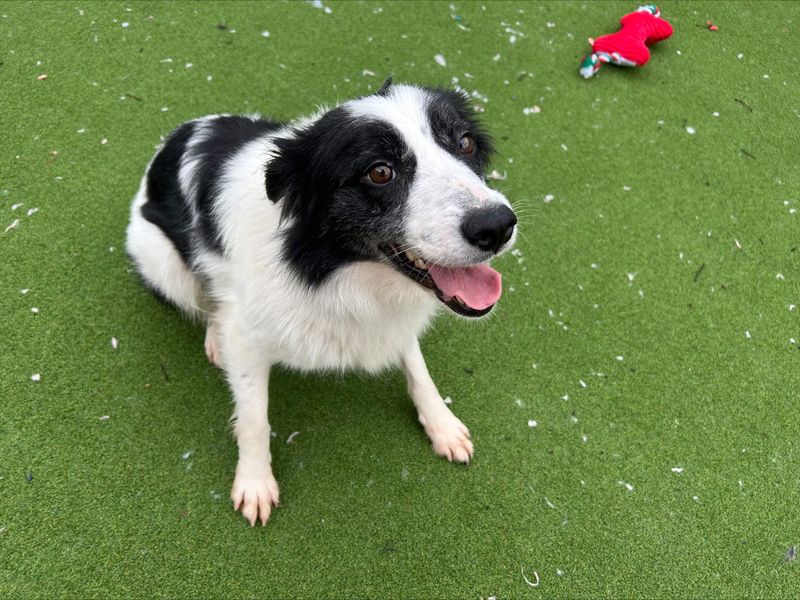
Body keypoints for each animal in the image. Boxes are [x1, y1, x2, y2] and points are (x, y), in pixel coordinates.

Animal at [122, 79, 516, 524]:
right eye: (380, 171)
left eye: (465, 143)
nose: (497, 226)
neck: (329, 273)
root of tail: (179, 134)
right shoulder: (248, 338)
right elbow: (254, 418)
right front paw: (254, 481)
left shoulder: (393, 322)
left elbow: (417, 367)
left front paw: (442, 424)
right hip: (161, 260)